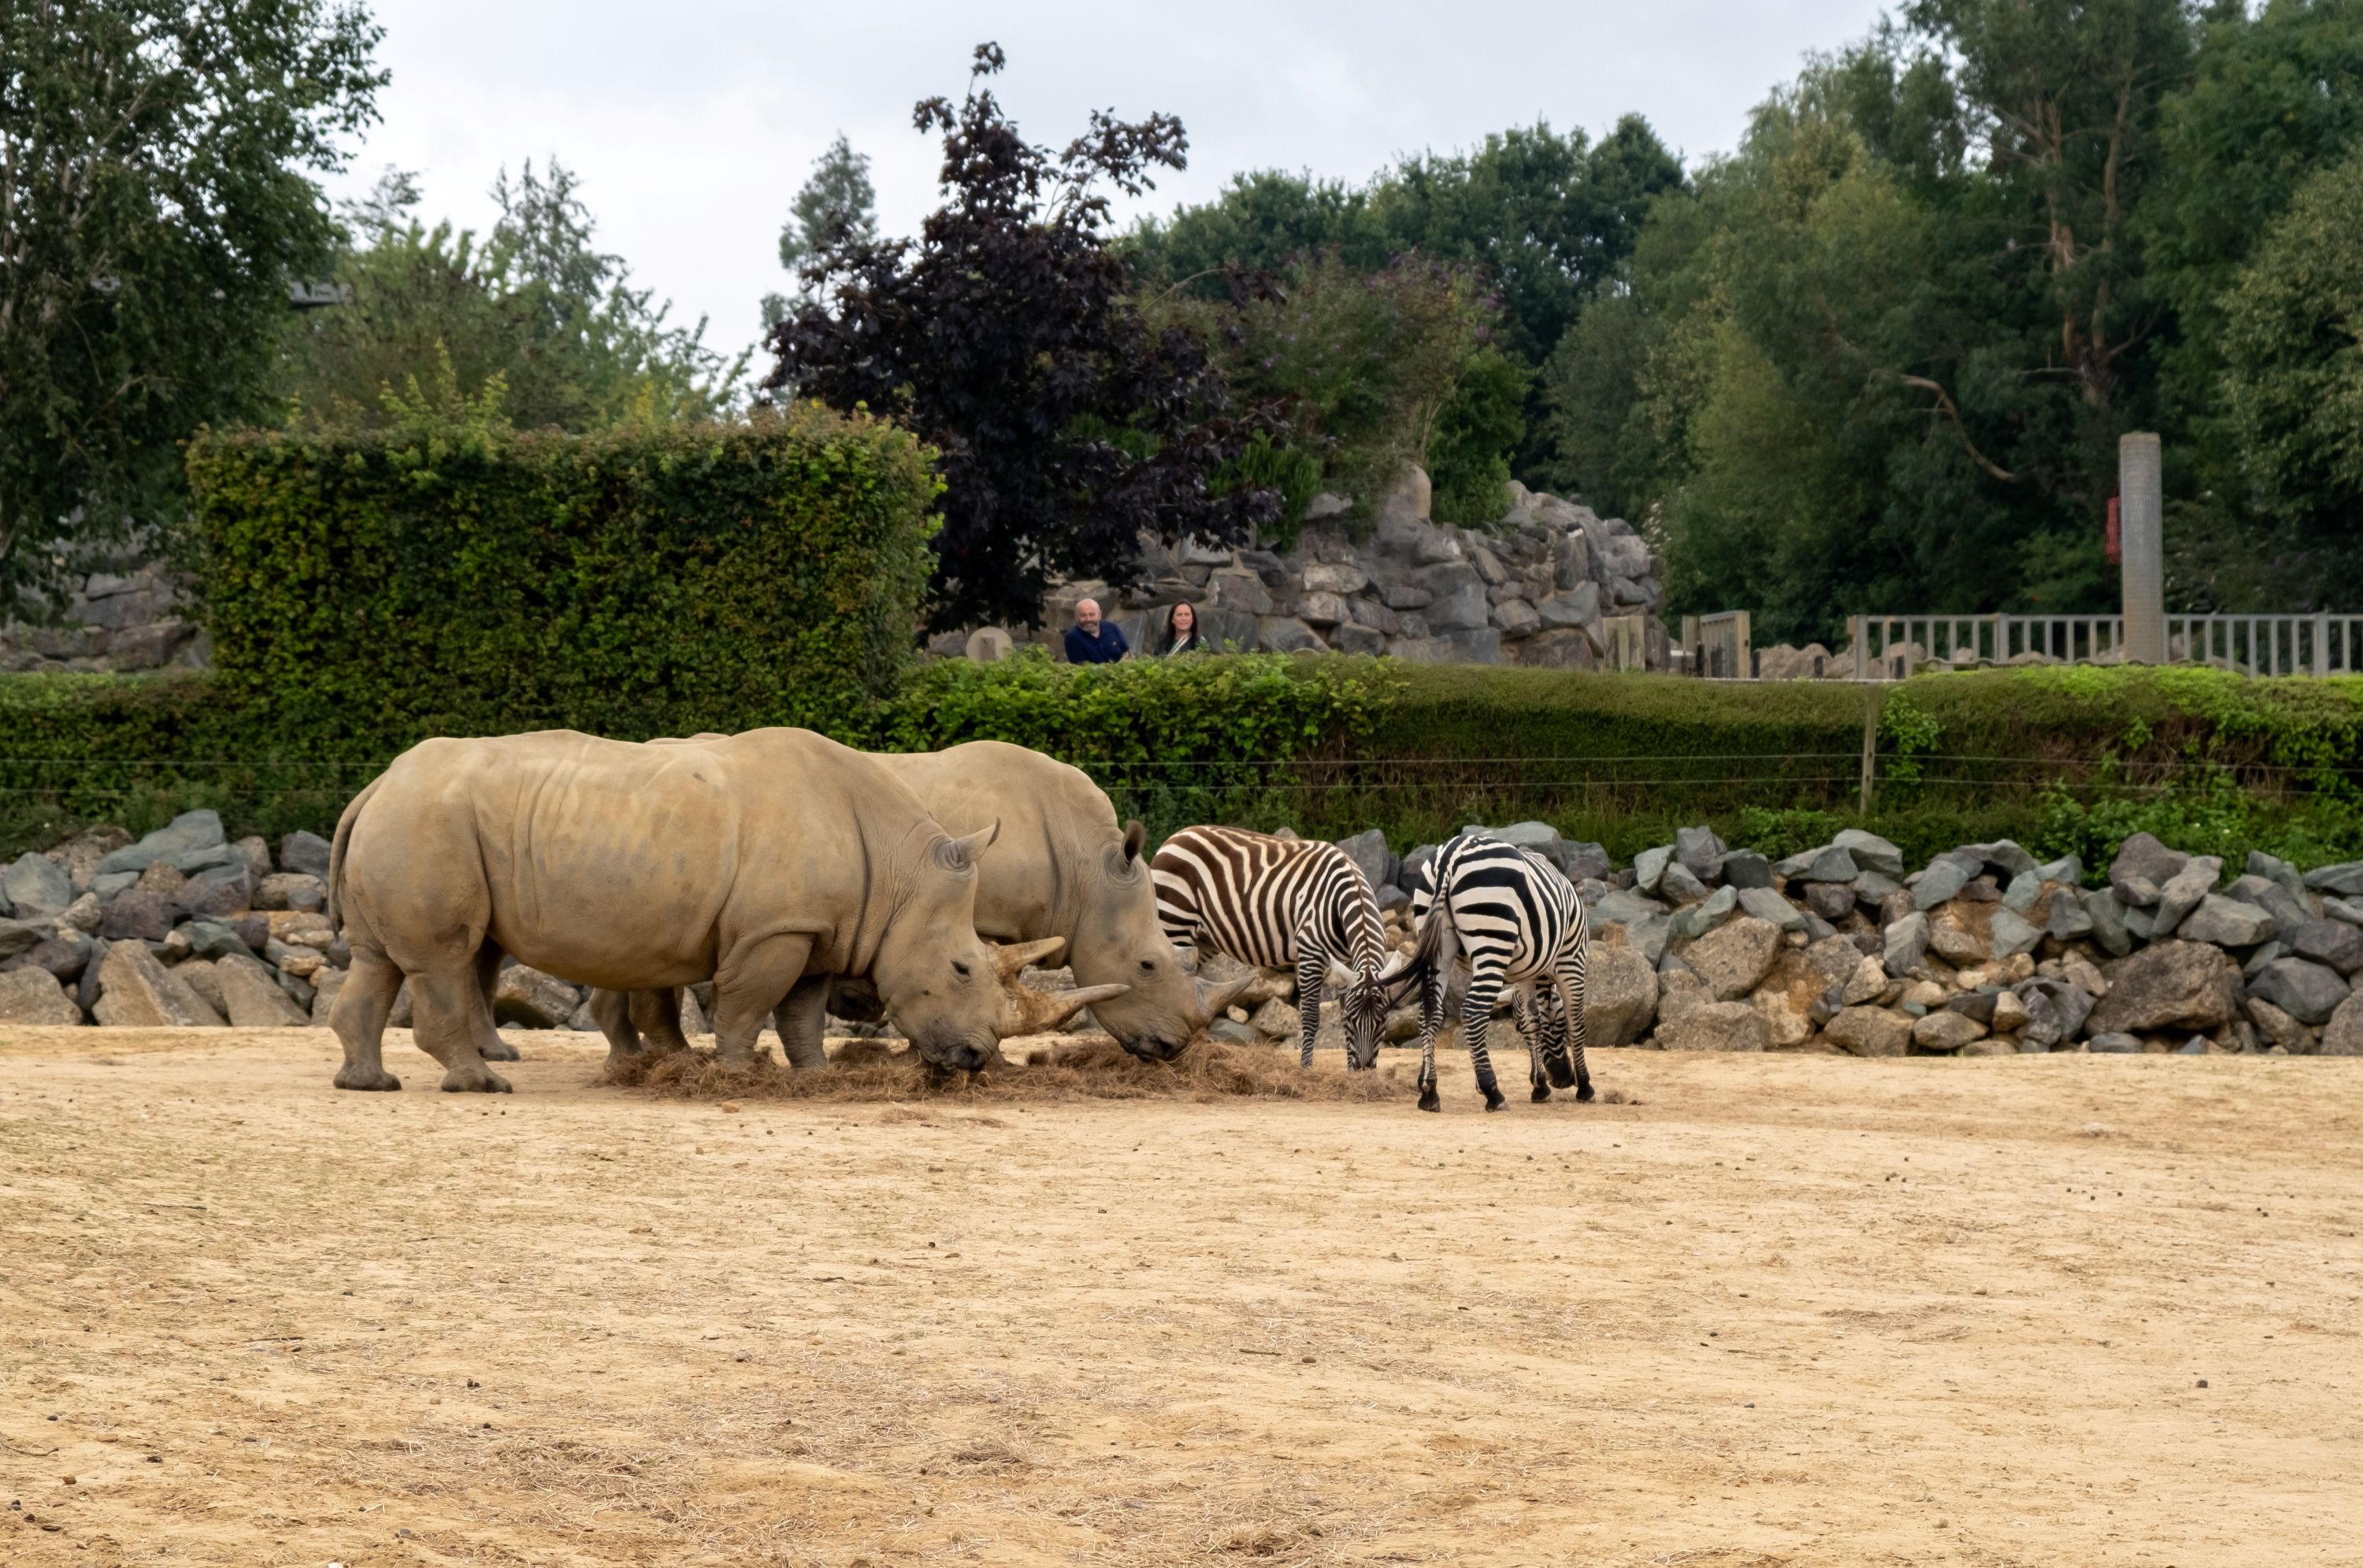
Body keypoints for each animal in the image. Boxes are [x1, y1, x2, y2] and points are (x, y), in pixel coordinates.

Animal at [326, 729, 1119, 1092]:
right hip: (429, 821)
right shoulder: (775, 929)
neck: (901, 877)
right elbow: (746, 1001)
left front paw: (813, 1077)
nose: (975, 1059)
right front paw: (738, 1073)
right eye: (961, 967)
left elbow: (802, 1010)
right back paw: (483, 1083)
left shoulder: (818, 927)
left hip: (411, 819)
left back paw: (369, 1083)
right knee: (443, 959)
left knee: (378, 959)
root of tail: (376, 784)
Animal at [591, 739, 1251, 1067]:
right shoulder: (985, 913)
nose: (1173, 1049)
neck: (1088, 870)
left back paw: (633, 1061)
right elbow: (984, 978)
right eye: (1147, 965)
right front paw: (985, 1062)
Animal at [1150, 826, 1403, 1069]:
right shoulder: (1311, 953)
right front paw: (1305, 1069)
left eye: (1383, 1020)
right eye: (1353, 1019)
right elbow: (1311, 1017)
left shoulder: (1345, 962)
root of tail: (1175, 837)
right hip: (1174, 923)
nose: (1364, 1069)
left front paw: (1350, 1073)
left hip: (1202, 940)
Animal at [1405, 833, 1593, 1113]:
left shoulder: (1526, 974)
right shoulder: (1572, 957)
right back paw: (1493, 1092)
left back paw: (1429, 1091)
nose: (1562, 1080)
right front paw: (1585, 1086)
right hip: (1492, 937)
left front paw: (1540, 1086)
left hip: (1440, 942)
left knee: (1430, 1012)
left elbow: (1533, 1020)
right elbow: (1576, 1022)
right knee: (1473, 1011)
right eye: (1557, 1023)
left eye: (1516, 1027)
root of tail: (1450, 853)